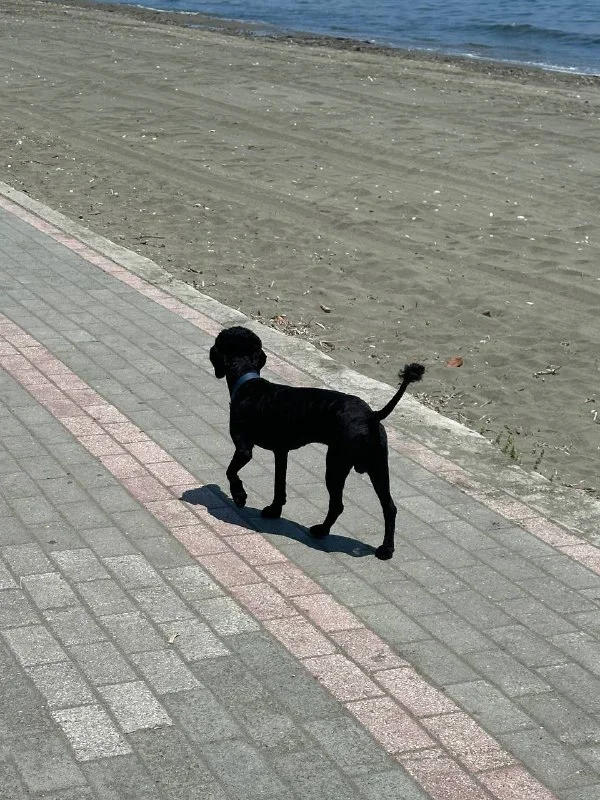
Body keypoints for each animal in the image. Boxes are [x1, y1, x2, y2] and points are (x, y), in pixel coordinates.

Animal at [209, 326, 424, 559]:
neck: (248, 384)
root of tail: (372, 416)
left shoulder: (243, 448)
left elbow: (231, 472)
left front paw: (240, 496)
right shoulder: (281, 452)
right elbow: (279, 484)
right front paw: (274, 510)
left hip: (336, 465)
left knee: (338, 504)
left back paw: (322, 530)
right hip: (378, 468)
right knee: (389, 507)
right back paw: (386, 548)